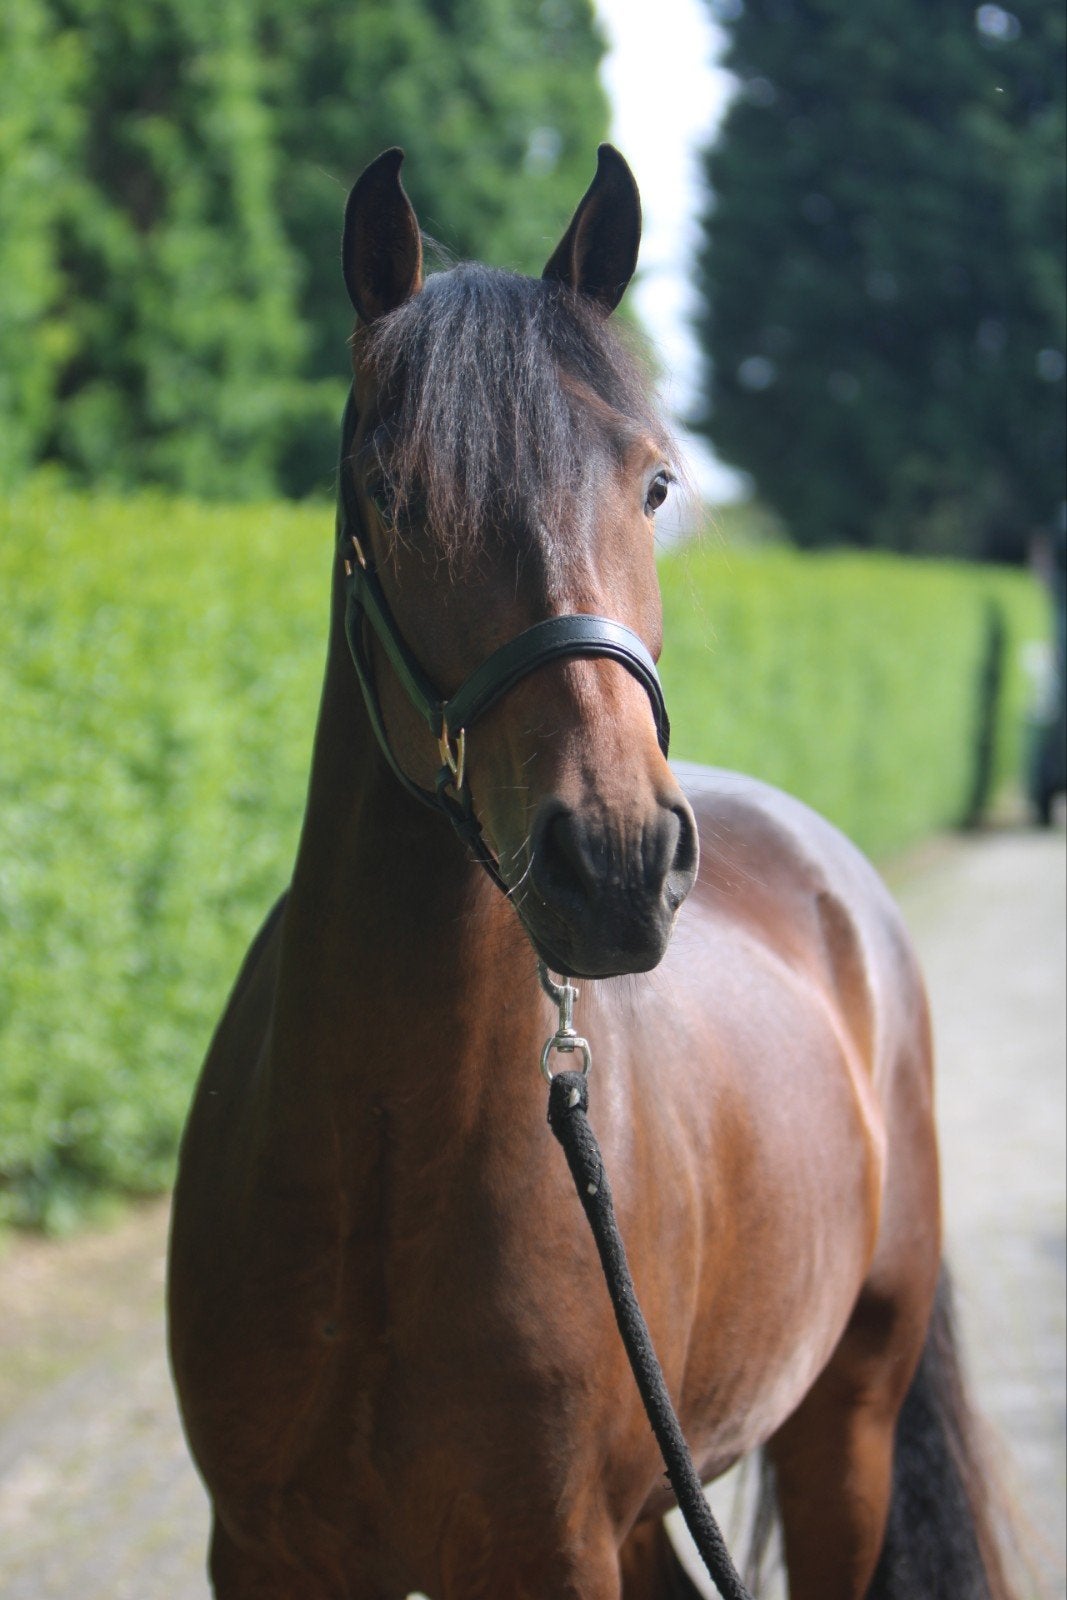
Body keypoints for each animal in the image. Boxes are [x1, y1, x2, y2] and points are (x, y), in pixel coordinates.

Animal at [168, 146, 1015, 1600]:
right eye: (393, 492)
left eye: (655, 485)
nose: (616, 861)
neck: (376, 1162)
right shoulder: (269, 1551)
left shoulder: (546, 1548)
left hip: (838, 1428)